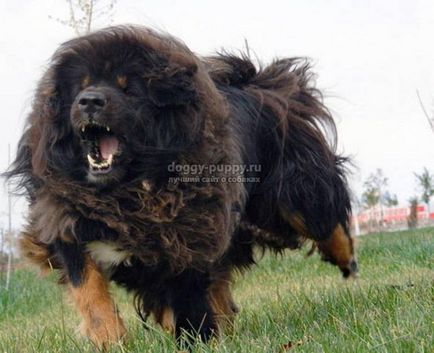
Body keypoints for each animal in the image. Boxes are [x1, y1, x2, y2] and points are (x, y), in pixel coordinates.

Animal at [7, 25, 356, 346]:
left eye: (129, 90)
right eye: (80, 87)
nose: (89, 100)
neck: (127, 190)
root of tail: (256, 84)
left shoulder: (189, 235)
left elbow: (188, 297)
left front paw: (196, 341)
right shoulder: (66, 221)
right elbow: (89, 289)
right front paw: (109, 338)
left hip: (290, 193)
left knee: (323, 217)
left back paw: (347, 261)